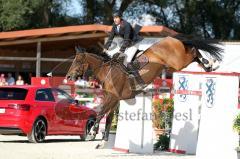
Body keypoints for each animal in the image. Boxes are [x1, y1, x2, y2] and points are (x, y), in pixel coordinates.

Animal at [64, 33, 222, 148]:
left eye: (77, 61)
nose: (68, 76)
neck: (106, 71)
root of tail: (171, 38)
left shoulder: (112, 97)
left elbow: (100, 113)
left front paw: (92, 133)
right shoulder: (115, 100)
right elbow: (108, 118)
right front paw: (102, 142)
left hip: (178, 62)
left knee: (194, 50)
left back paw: (211, 63)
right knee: (193, 51)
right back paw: (209, 66)